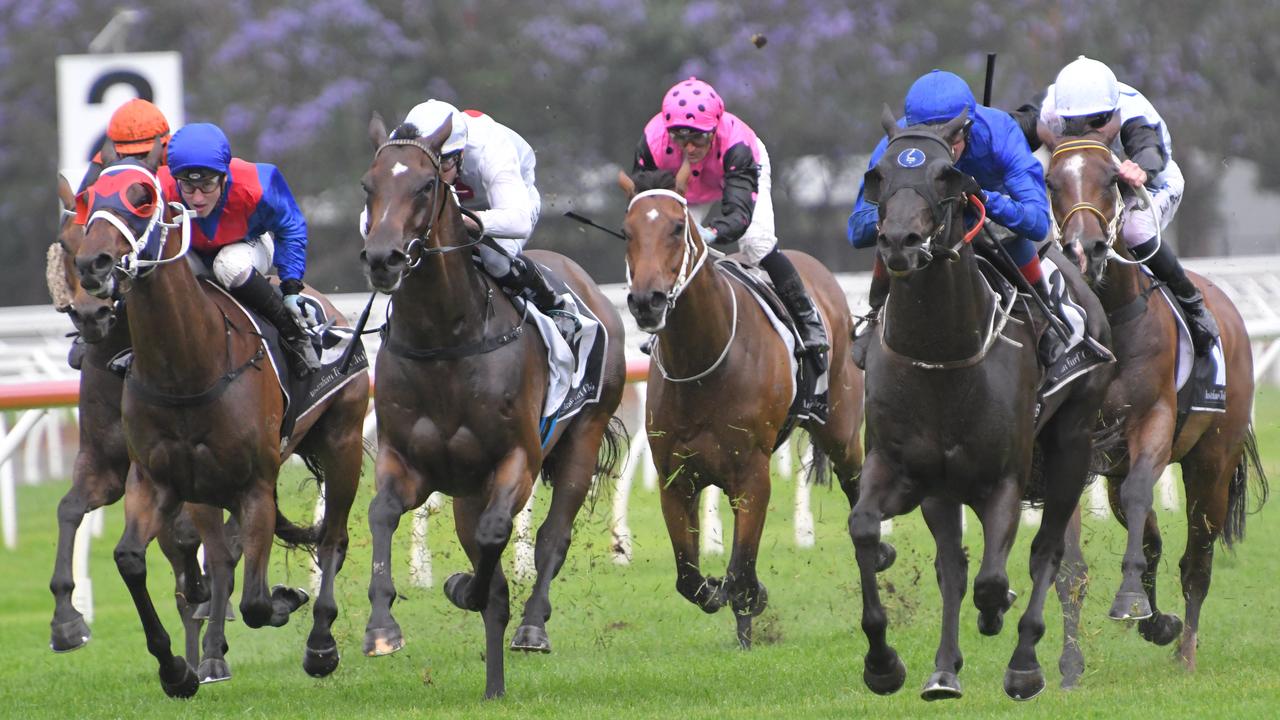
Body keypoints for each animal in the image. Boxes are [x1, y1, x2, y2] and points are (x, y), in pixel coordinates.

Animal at [73, 142, 369, 698]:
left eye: (143, 197)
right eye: (88, 199)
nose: (91, 263)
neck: (186, 367)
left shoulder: (254, 484)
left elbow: (254, 601)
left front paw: (283, 602)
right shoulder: (159, 480)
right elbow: (134, 560)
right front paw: (175, 669)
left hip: (342, 442)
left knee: (332, 539)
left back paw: (320, 644)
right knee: (222, 558)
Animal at [360, 114, 626, 699]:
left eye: (426, 185)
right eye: (368, 186)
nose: (383, 259)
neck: (446, 339)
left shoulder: (516, 460)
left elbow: (496, 536)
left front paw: (465, 589)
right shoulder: (407, 460)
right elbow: (383, 512)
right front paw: (381, 628)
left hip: (581, 438)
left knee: (552, 538)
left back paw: (532, 627)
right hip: (466, 487)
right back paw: (494, 685)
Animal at [618, 163, 875, 650]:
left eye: (678, 228)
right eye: (627, 231)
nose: (646, 301)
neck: (703, 359)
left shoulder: (752, 475)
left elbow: (740, 570)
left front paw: (749, 603)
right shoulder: (675, 479)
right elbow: (691, 578)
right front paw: (728, 595)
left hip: (843, 435)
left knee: (858, 500)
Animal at [849, 107, 1113, 701]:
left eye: (948, 176)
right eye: (878, 175)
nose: (899, 241)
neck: (941, 355)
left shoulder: (1005, 478)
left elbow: (996, 577)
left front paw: (1000, 622)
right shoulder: (902, 469)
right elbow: (866, 531)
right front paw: (882, 663)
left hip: (1071, 443)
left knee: (1047, 552)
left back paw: (1024, 661)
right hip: (943, 489)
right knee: (951, 565)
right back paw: (944, 669)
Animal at [1044, 131, 1268, 671]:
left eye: (1111, 178)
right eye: (1051, 182)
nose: (1084, 249)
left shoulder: (1154, 422)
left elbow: (1145, 500)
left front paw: (1132, 604)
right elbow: (1076, 560)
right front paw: (1071, 662)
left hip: (1212, 461)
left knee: (1197, 557)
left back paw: (1185, 651)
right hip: (1119, 468)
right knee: (1152, 537)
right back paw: (1159, 623)